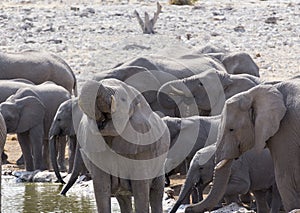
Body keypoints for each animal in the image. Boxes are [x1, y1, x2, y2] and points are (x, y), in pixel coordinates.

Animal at [75, 79, 170, 212]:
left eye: (123, 99)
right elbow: (101, 187)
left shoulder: (143, 148)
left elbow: (141, 190)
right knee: (123, 199)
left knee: (156, 194)